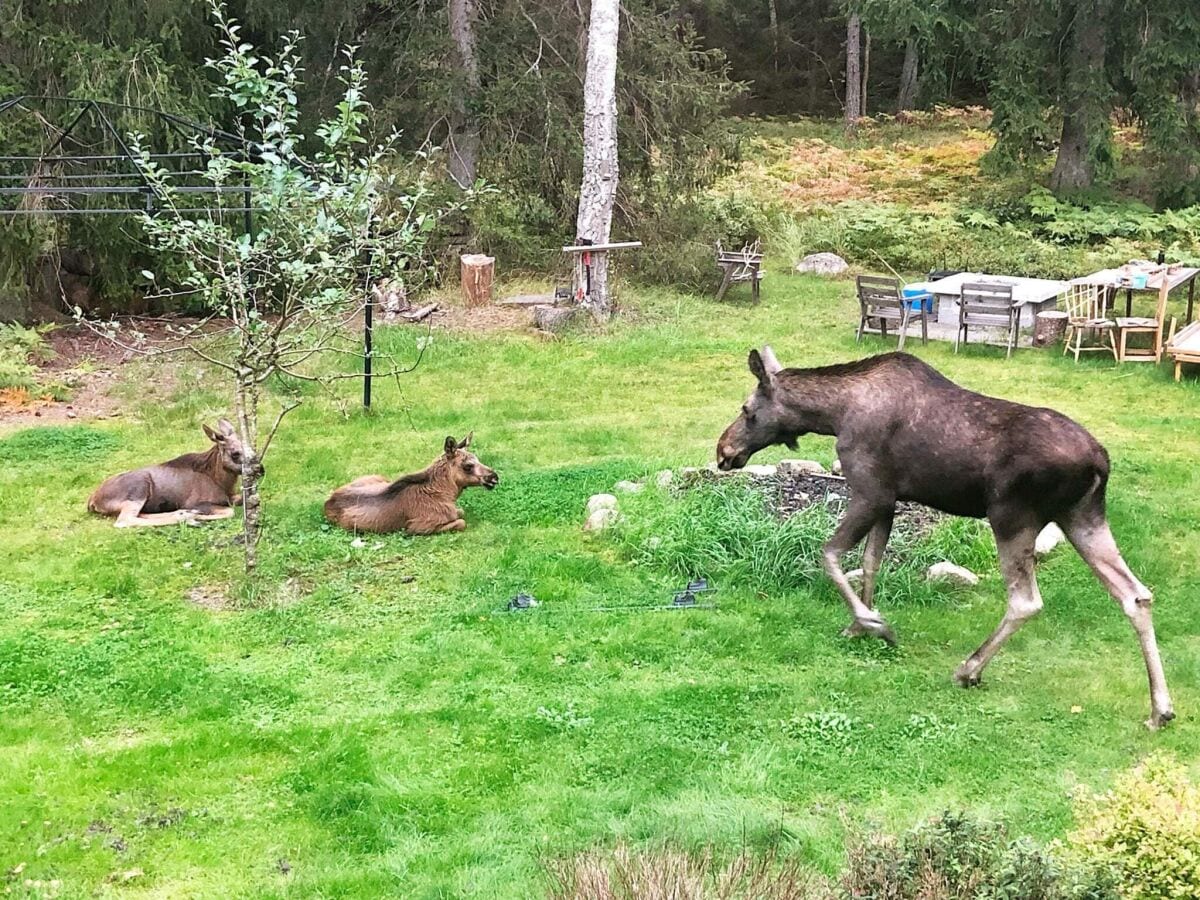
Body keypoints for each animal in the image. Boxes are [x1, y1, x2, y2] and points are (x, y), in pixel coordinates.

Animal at [87, 417, 259, 528]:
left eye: (252, 448)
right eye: (235, 453)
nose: (260, 469)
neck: (221, 480)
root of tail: (92, 501)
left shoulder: (231, 496)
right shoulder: (198, 502)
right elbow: (229, 512)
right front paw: (196, 515)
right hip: (138, 490)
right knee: (124, 521)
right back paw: (186, 517)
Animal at [321, 434, 499, 535]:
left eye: (477, 458)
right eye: (468, 466)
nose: (494, 477)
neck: (447, 494)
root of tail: (328, 502)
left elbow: (460, 512)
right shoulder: (418, 527)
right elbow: (461, 522)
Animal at [715, 348, 1176, 734]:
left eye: (746, 409)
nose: (723, 450)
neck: (832, 416)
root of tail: (1100, 462)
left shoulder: (870, 492)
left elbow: (829, 555)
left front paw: (875, 624)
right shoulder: (891, 499)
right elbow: (870, 561)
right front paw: (860, 624)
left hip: (1012, 517)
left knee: (1026, 600)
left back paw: (968, 669)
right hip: (1083, 517)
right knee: (1135, 594)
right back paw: (1160, 708)